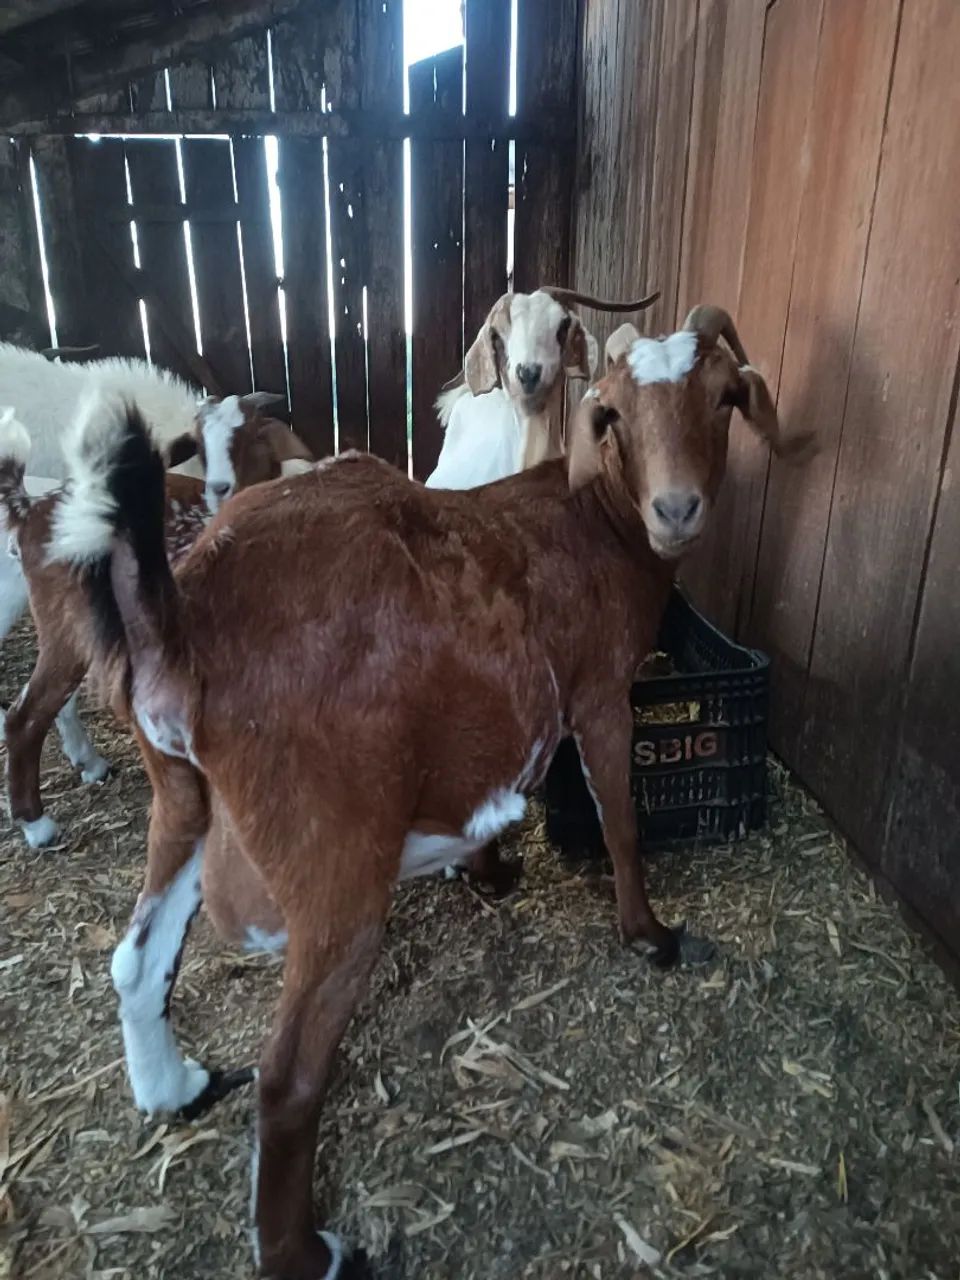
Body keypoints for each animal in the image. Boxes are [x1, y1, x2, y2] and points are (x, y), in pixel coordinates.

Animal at [1, 394, 314, 848]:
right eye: (198, 444)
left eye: (253, 434)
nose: (218, 487)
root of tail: (30, 510)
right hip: (65, 621)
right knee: (25, 714)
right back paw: (36, 825)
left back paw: (89, 764)